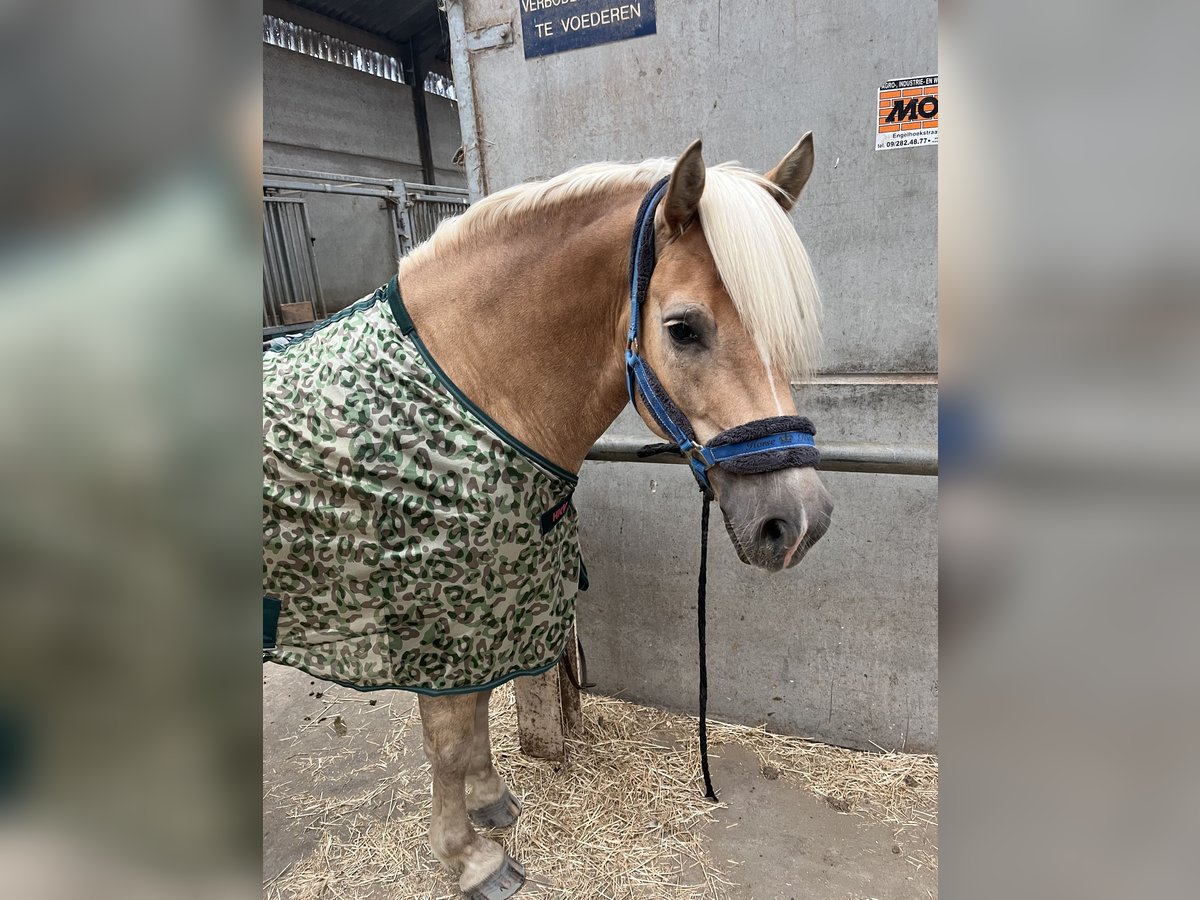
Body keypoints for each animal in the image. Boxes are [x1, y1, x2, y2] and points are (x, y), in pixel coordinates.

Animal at [261, 137, 830, 897]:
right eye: (682, 329)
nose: (797, 521)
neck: (470, 392)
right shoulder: (433, 620)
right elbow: (447, 737)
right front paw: (471, 860)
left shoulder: (487, 609)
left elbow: (475, 716)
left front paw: (491, 804)